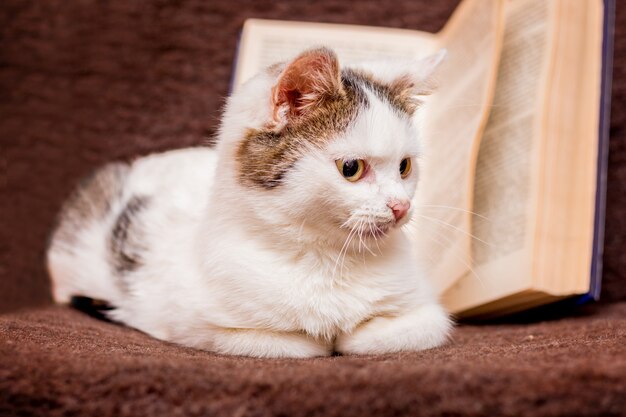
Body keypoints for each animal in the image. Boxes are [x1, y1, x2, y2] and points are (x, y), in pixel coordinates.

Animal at [47, 46, 448, 358]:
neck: (327, 259)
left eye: (405, 166)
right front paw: (325, 339)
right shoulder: (199, 325)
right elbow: (298, 344)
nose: (400, 206)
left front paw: (349, 334)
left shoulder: (427, 314)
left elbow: (386, 334)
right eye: (351, 168)